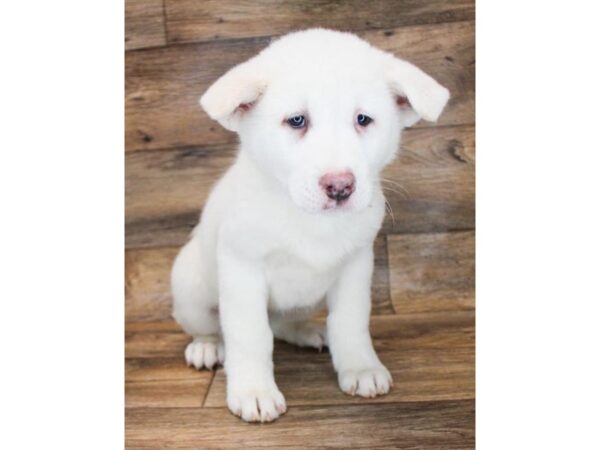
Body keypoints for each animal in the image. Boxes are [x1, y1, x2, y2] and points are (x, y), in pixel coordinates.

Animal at [171, 29, 448, 422]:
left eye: (363, 119)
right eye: (297, 121)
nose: (340, 186)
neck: (306, 217)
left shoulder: (356, 266)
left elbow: (350, 322)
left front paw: (360, 367)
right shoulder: (242, 270)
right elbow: (249, 335)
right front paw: (254, 390)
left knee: (281, 324)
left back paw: (307, 332)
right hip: (189, 287)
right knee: (216, 328)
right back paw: (207, 348)